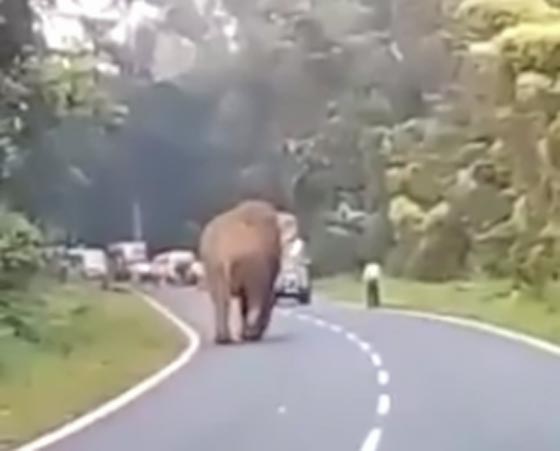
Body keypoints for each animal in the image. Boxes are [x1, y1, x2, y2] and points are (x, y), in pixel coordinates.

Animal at [199, 200, 282, 344]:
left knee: (221, 299)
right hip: (252, 263)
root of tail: (226, 252)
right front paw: (249, 335)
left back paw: (223, 339)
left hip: (213, 266)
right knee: (254, 300)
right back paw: (247, 336)